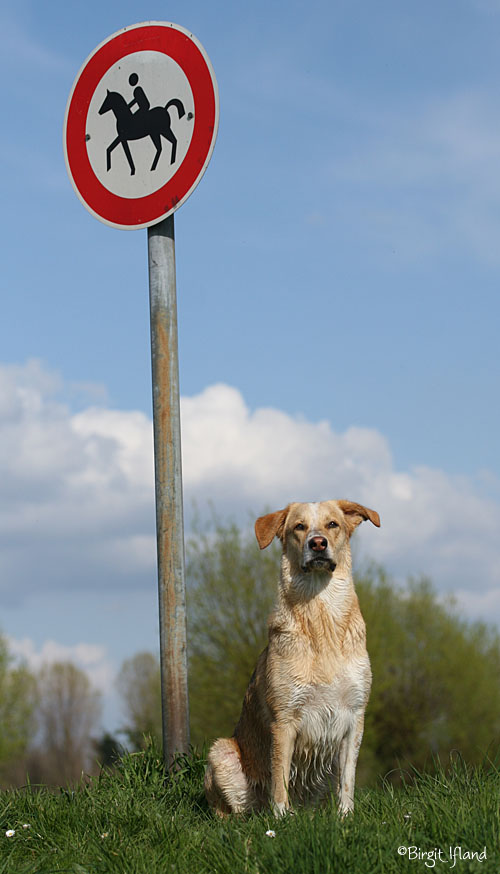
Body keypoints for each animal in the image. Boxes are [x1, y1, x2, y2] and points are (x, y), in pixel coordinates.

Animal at [205, 500, 380, 816]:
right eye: (299, 527)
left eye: (332, 524)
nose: (318, 543)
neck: (320, 613)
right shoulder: (283, 719)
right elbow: (280, 778)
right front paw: (282, 818)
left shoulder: (354, 717)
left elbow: (347, 779)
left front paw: (345, 817)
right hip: (221, 752)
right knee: (230, 812)